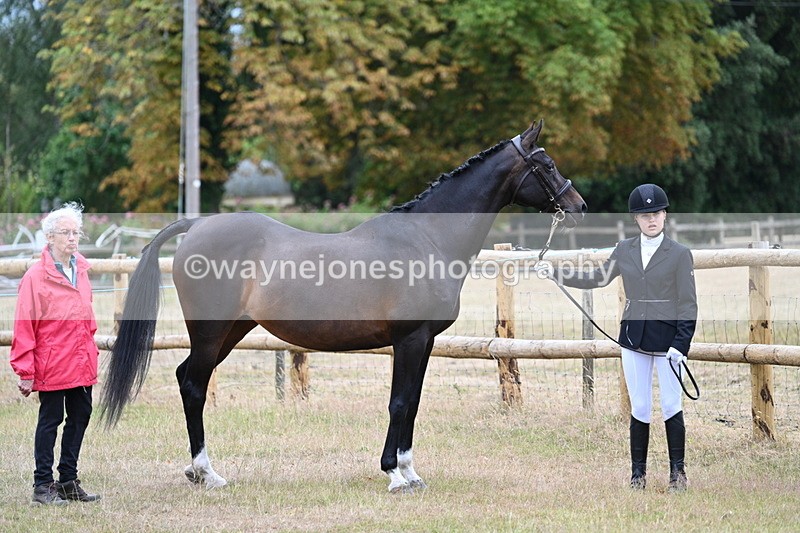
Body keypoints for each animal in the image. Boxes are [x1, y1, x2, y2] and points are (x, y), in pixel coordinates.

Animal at [100, 119, 587, 493]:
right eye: (546, 164)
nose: (578, 205)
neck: (428, 239)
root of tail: (197, 226)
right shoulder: (409, 340)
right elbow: (399, 402)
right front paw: (394, 475)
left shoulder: (425, 342)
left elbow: (413, 402)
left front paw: (411, 472)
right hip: (210, 331)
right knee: (193, 386)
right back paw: (208, 473)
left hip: (231, 331)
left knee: (187, 378)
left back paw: (196, 472)